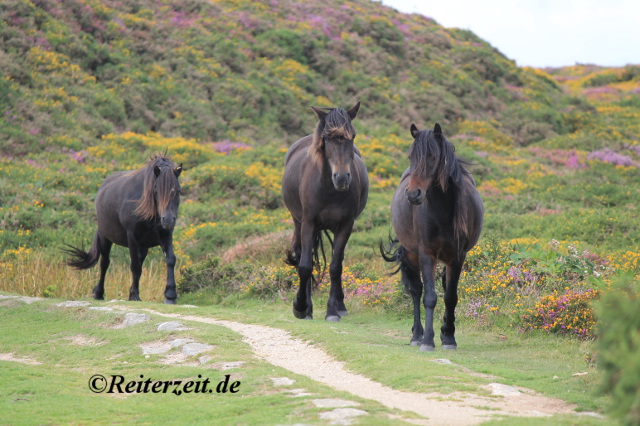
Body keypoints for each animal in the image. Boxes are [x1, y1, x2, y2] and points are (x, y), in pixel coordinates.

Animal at [64, 155, 182, 304]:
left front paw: (170, 295)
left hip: (143, 246)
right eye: (156, 190)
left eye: (178, 191)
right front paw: (134, 295)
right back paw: (98, 293)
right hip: (105, 238)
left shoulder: (165, 235)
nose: (168, 219)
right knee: (104, 263)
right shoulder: (132, 237)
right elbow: (135, 266)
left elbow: (170, 260)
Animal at [282, 103, 368, 322]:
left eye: (353, 136)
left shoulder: (346, 225)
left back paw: (340, 305)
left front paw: (332, 311)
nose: (342, 178)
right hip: (298, 222)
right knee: (304, 257)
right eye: (327, 138)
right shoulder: (308, 223)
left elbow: (336, 267)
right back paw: (307, 308)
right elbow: (305, 266)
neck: (330, 190)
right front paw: (300, 307)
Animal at [382, 122, 482, 350]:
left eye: (433, 157)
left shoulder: (457, 257)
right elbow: (429, 297)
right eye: (411, 156)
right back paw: (417, 335)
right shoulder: (427, 254)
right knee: (416, 291)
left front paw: (449, 337)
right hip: (413, 255)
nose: (413, 194)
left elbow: (450, 297)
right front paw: (427, 339)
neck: (443, 211)